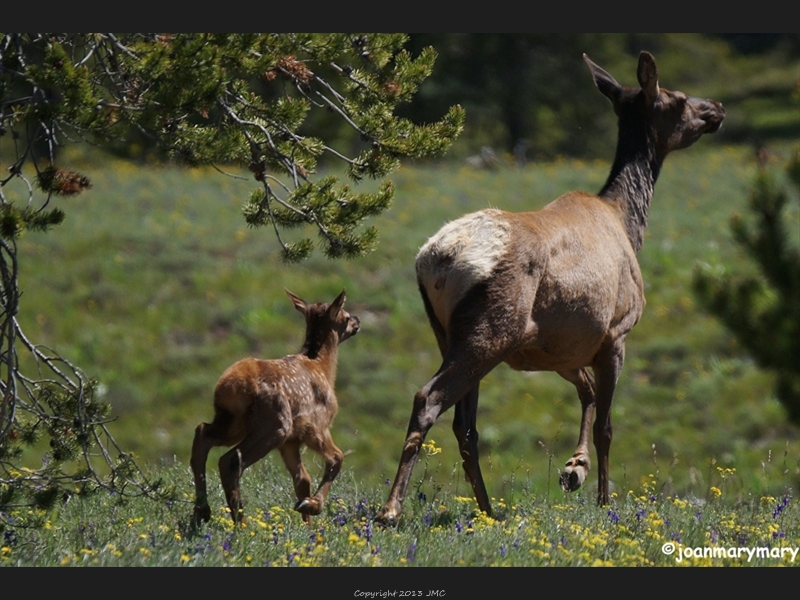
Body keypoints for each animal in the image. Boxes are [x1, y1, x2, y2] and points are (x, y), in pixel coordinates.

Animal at [191, 288, 360, 524]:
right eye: (345, 315)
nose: (357, 320)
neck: (323, 368)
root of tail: (232, 386)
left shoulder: (291, 440)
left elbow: (302, 479)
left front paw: (307, 522)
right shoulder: (316, 425)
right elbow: (337, 457)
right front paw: (313, 506)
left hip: (232, 421)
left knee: (203, 432)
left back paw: (202, 510)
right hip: (275, 422)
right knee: (230, 459)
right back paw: (240, 522)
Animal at [376, 50, 724, 524]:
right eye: (680, 98)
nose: (717, 108)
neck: (628, 223)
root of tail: (436, 259)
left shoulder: (559, 345)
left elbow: (587, 392)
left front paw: (573, 469)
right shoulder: (616, 331)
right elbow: (607, 424)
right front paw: (603, 499)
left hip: (448, 332)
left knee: (465, 424)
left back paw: (488, 510)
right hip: (490, 331)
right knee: (427, 399)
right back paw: (391, 509)